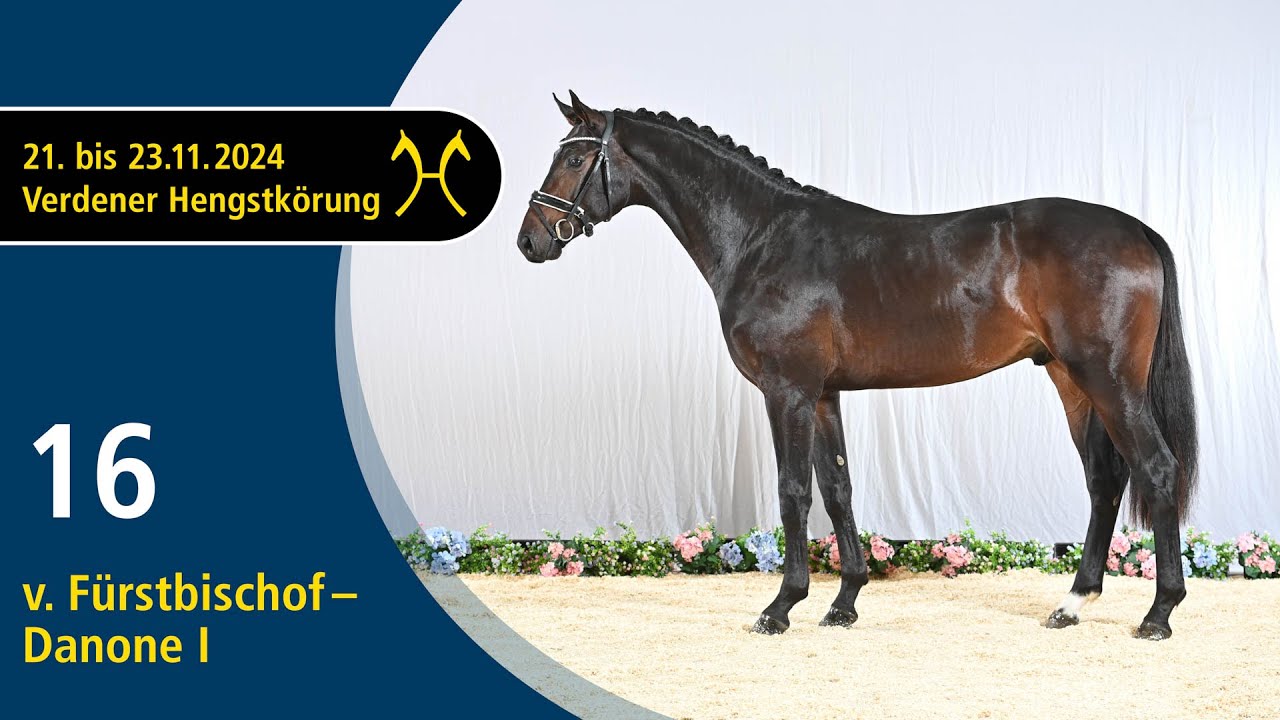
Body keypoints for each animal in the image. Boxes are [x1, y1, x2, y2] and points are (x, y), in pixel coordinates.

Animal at [518, 91, 1198, 641]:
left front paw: (780, 607)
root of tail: (1136, 229)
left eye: (575, 160)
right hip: (1071, 379)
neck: (762, 238)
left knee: (1157, 469)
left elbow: (794, 491)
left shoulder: (787, 391)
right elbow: (837, 488)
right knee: (1105, 479)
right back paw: (1073, 603)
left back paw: (1159, 613)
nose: (531, 239)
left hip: (1108, 380)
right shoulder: (823, 395)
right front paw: (842, 603)